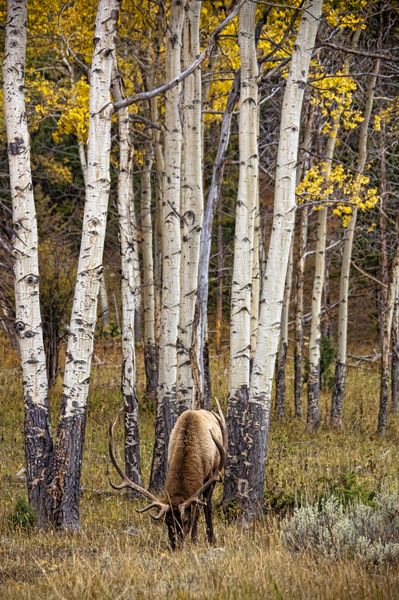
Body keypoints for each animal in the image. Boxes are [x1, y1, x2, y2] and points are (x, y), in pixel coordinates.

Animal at [109, 398, 228, 548]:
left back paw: (209, 537)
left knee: (207, 505)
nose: (175, 546)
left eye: (185, 521)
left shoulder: (209, 476)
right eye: (167, 521)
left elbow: (199, 511)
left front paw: (197, 540)